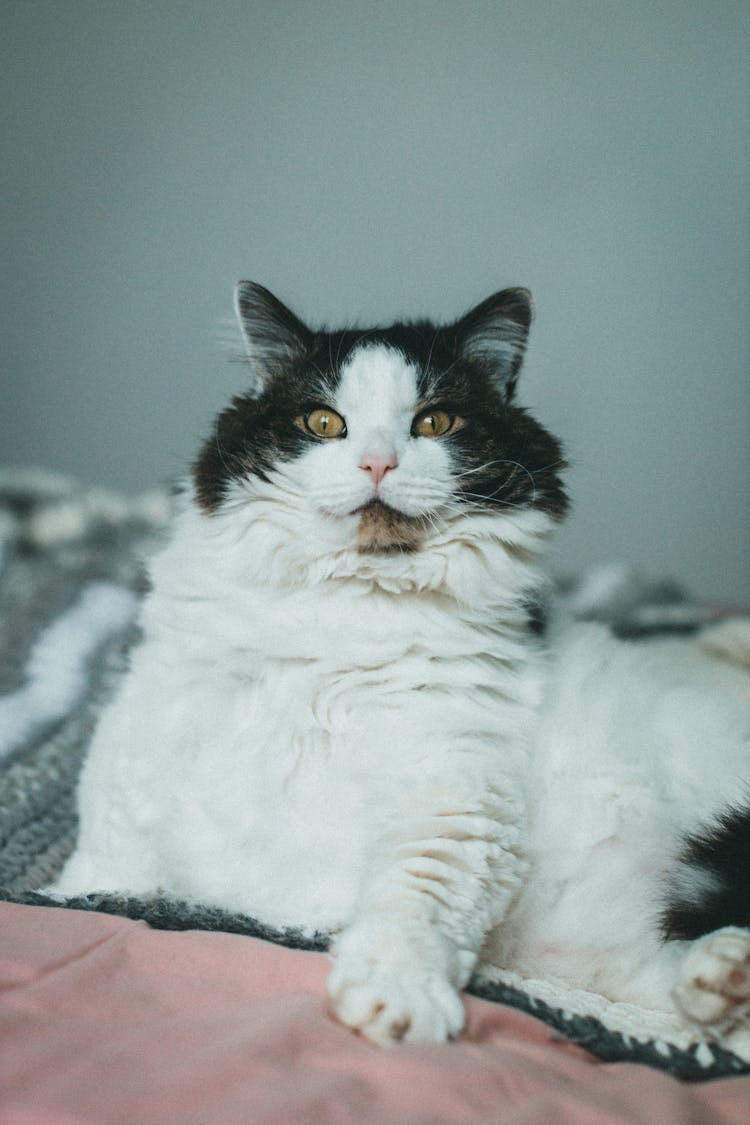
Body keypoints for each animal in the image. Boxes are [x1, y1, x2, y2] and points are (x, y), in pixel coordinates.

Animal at [55, 281, 750, 1044]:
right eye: (325, 422)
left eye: (435, 421)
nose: (378, 465)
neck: (351, 606)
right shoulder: (150, 718)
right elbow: (111, 848)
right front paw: (75, 898)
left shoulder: (453, 791)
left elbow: (412, 901)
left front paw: (396, 999)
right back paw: (723, 980)